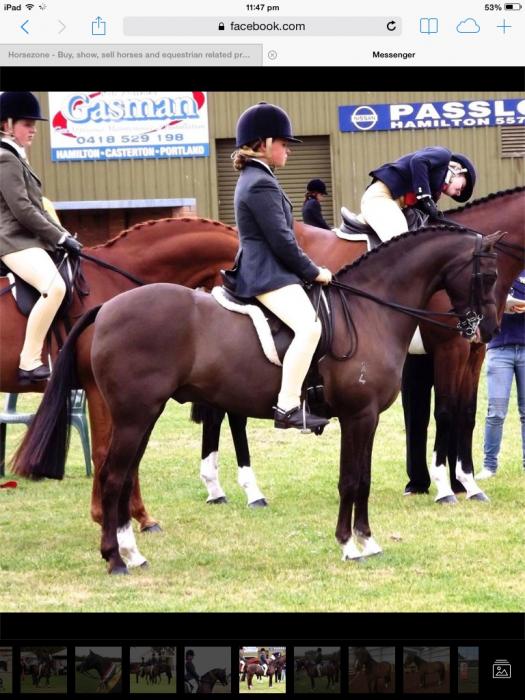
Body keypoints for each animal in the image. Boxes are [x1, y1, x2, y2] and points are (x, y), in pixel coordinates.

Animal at [192, 188, 524, 506]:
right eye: (487, 276)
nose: (489, 327)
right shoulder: (448, 349)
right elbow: (444, 412)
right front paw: (445, 487)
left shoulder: (473, 352)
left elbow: (465, 413)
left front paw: (468, 483)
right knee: (226, 414)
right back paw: (233, 489)